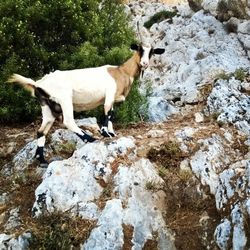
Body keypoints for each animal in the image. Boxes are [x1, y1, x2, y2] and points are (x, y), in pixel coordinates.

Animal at [7, 43, 165, 166]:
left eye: (152, 51)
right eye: (139, 49)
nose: (144, 64)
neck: (121, 71)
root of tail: (38, 83)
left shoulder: (112, 99)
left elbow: (111, 114)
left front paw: (112, 133)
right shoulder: (109, 95)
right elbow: (107, 113)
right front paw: (105, 133)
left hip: (47, 106)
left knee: (41, 131)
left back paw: (42, 160)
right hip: (65, 100)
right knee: (68, 121)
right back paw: (90, 139)